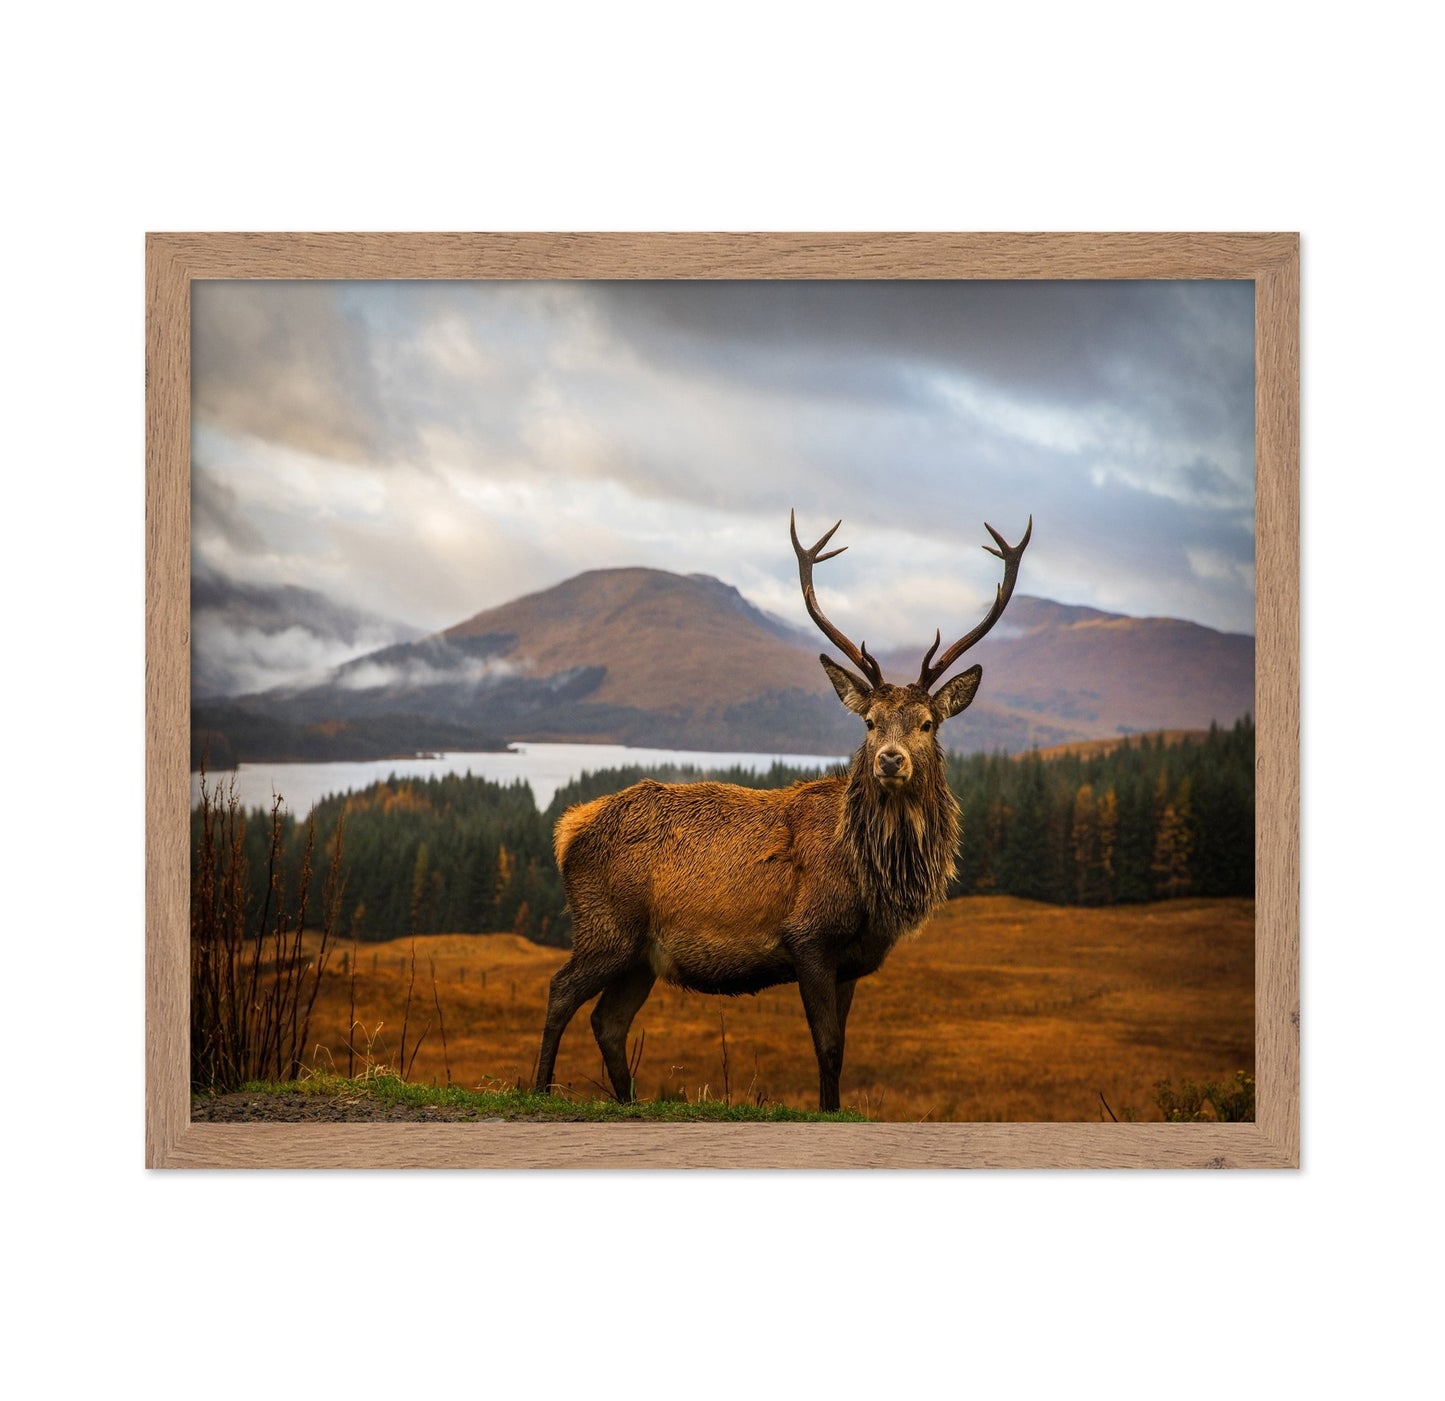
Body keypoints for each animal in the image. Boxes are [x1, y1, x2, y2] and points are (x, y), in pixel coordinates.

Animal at [534, 509, 1032, 1112]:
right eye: (869, 722)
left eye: (927, 723)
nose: (890, 760)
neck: (874, 884)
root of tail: (568, 829)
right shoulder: (808, 937)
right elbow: (827, 1047)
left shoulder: (852, 961)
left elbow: (841, 1047)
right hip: (606, 926)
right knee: (560, 992)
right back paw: (538, 1089)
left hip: (640, 955)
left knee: (609, 1021)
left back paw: (627, 1101)